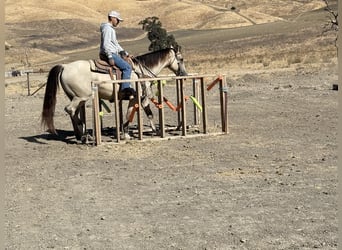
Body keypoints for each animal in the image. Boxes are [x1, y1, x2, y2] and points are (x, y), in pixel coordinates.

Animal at [42, 47, 190, 141]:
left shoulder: (139, 99)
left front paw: (153, 131)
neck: (141, 72)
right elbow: (132, 115)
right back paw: (84, 134)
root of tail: (65, 66)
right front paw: (127, 134)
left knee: (74, 113)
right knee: (70, 110)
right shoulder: (136, 98)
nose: (184, 74)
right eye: (181, 59)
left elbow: (144, 113)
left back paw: (80, 135)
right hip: (80, 97)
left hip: (76, 97)